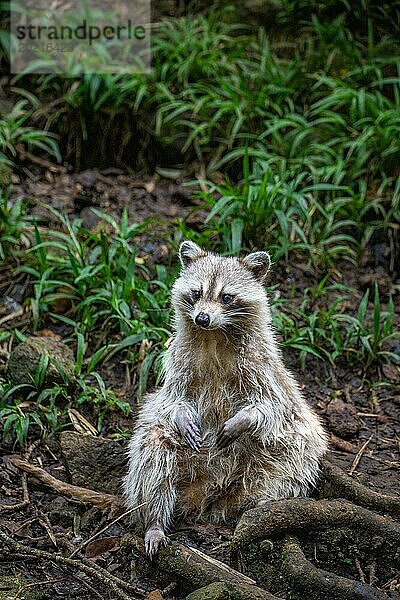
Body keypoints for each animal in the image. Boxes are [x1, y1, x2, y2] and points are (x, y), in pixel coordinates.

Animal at [122, 240, 328, 556]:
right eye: (197, 293)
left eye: (226, 297)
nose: (202, 318)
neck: (214, 336)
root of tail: (204, 496)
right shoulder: (178, 360)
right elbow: (170, 400)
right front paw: (182, 415)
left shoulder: (263, 366)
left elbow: (272, 407)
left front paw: (243, 420)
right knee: (152, 454)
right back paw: (154, 521)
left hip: (281, 458)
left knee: (293, 464)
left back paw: (258, 512)